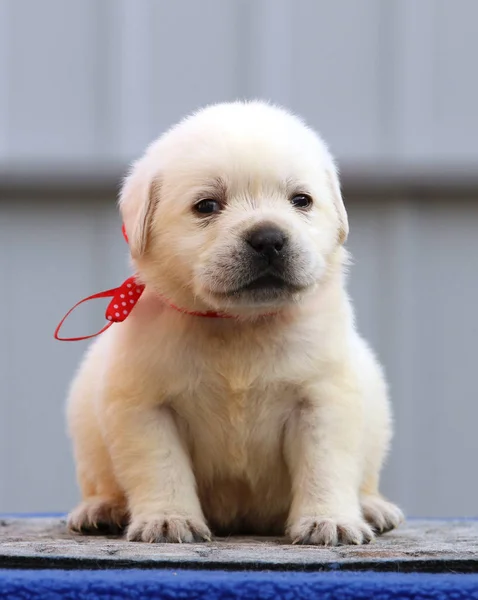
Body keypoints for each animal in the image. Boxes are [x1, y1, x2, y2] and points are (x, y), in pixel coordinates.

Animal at [66, 99, 404, 544]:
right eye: (207, 206)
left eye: (301, 200)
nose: (269, 239)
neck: (240, 324)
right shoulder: (147, 409)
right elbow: (162, 469)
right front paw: (168, 519)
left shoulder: (322, 401)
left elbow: (325, 468)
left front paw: (328, 520)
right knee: (101, 481)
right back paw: (101, 508)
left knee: (365, 478)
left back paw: (372, 506)